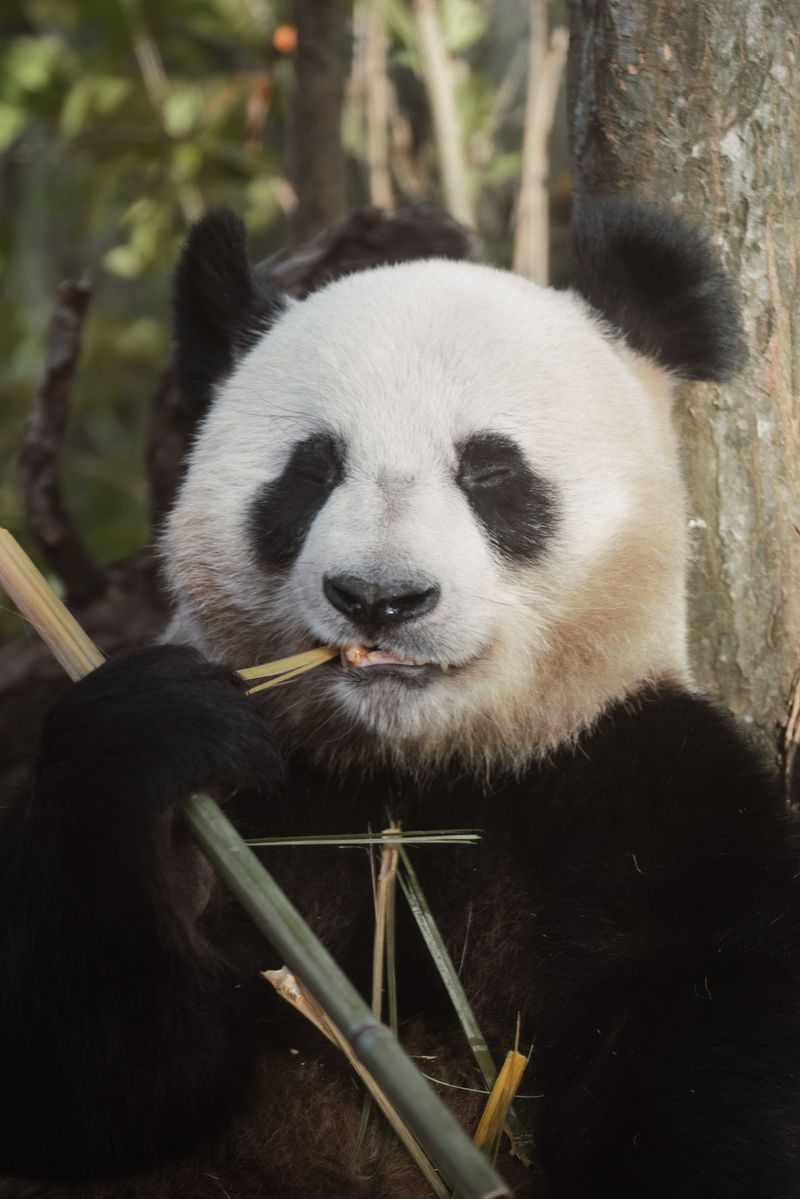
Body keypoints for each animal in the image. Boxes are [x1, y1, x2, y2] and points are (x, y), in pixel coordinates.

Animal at [2, 199, 800, 1199]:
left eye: (491, 471)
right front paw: (153, 729)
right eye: (311, 469)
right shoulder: (280, 801)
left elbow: (712, 1046)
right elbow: (100, 1089)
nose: (379, 597)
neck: (411, 777)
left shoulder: (638, 779)